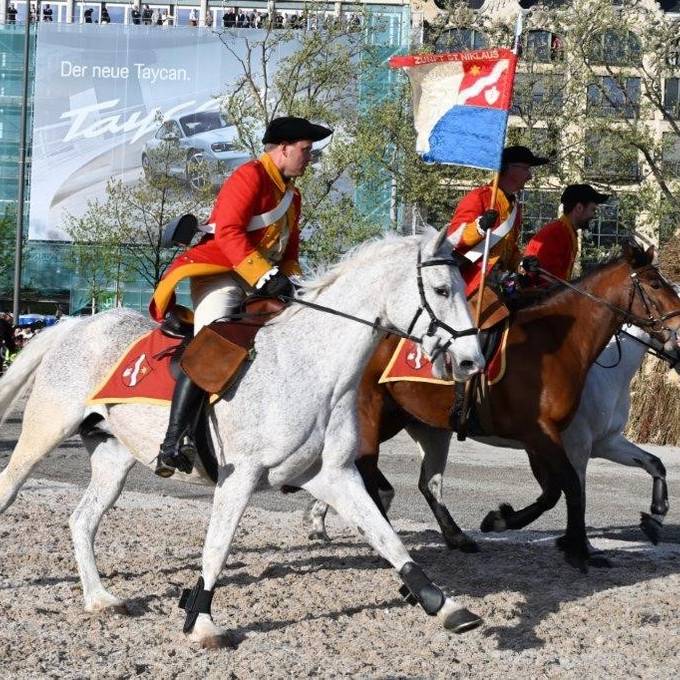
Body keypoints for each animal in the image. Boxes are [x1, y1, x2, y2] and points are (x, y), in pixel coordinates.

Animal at [0, 228, 488, 648]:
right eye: (443, 290)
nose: (472, 362)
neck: (310, 367)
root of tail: (76, 326)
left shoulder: (334, 475)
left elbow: (389, 540)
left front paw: (445, 606)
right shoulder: (239, 477)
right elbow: (216, 549)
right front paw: (202, 623)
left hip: (113, 457)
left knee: (82, 520)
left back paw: (99, 598)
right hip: (44, 433)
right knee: (11, 487)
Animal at [306, 242, 680, 572]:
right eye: (656, 284)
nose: (677, 337)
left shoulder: (573, 441)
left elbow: (629, 470)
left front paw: (651, 516)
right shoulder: (549, 437)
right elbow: (571, 489)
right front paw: (575, 549)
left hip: (408, 421)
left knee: (423, 482)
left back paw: (453, 537)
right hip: (371, 414)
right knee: (365, 470)